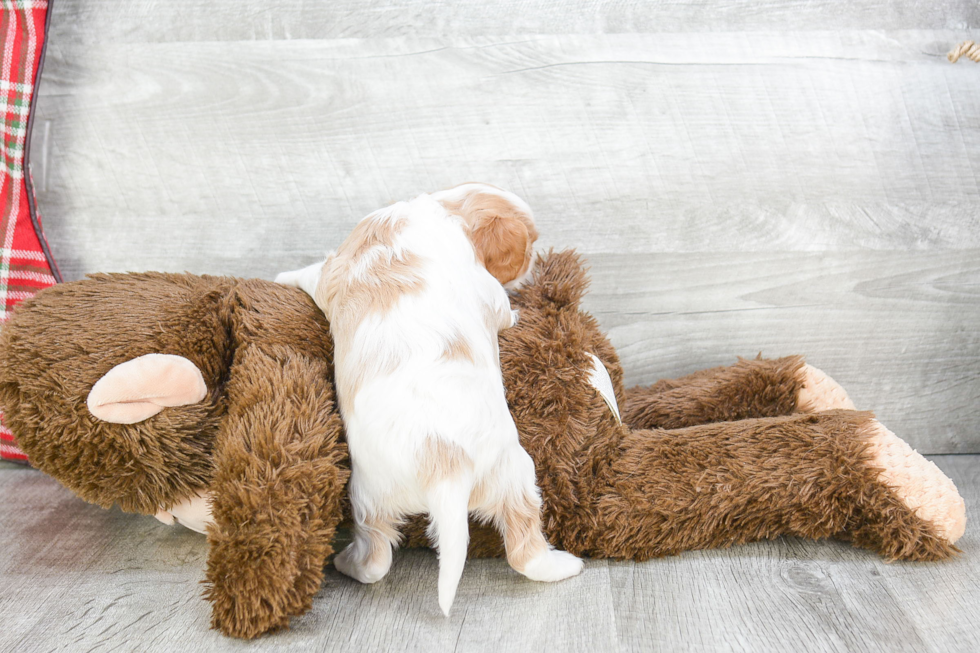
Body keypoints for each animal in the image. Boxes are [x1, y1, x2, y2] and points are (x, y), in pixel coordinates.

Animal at [276, 183, 580, 612]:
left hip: (367, 498)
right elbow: (504, 310)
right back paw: (564, 566)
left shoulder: (335, 268)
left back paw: (347, 564)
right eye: (530, 243)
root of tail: (445, 468)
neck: (440, 209)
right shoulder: (489, 293)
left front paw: (281, 274)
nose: (533, 261)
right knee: (525, 548)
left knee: (376, 557)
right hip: (516, 475)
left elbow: (311, 273)